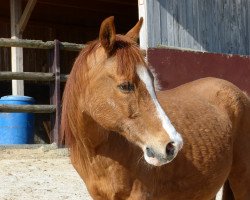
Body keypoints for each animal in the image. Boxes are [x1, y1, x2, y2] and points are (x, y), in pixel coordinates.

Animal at [61, 16, 250, 199]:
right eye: (125, 86)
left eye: (152, 80)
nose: (173, 145)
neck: (98, 153)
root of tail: (240, 93)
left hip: (242, 179)